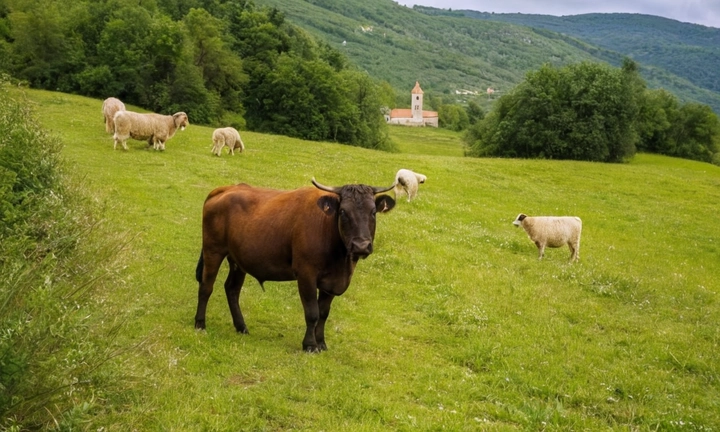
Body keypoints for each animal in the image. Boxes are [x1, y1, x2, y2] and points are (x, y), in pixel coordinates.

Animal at [194, 178, 396, 352]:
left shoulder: (332, 283)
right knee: (206, 286)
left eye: (373, 212)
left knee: (232, 289)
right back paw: (200, 323)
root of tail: (226, 188)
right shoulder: (306, 274)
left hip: (238, 259)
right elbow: (312, 312)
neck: (341, 261)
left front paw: (321, 343)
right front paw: (310, 345)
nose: (361, 245)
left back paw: (241, 326)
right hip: (213, 250)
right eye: (343, 212)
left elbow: (324, 313)